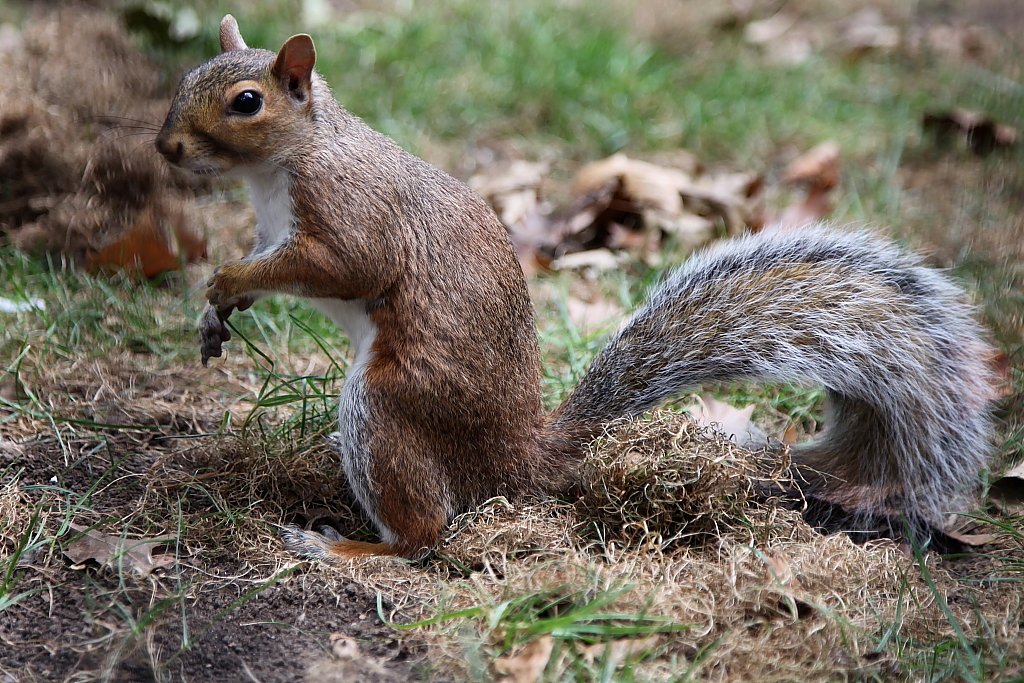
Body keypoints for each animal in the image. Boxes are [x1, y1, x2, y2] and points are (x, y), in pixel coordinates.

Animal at [155, 15, 995, 561]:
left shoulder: (348, 214)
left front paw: (225, 278)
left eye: (246, 102)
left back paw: (347, 548)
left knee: (427, 535)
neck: (279, 170)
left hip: (388, 407)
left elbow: (341, 267)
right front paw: (218, 309)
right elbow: (263, 269)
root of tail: (519, 462)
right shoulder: (273, 229)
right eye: (185, 78)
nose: (164, 148)